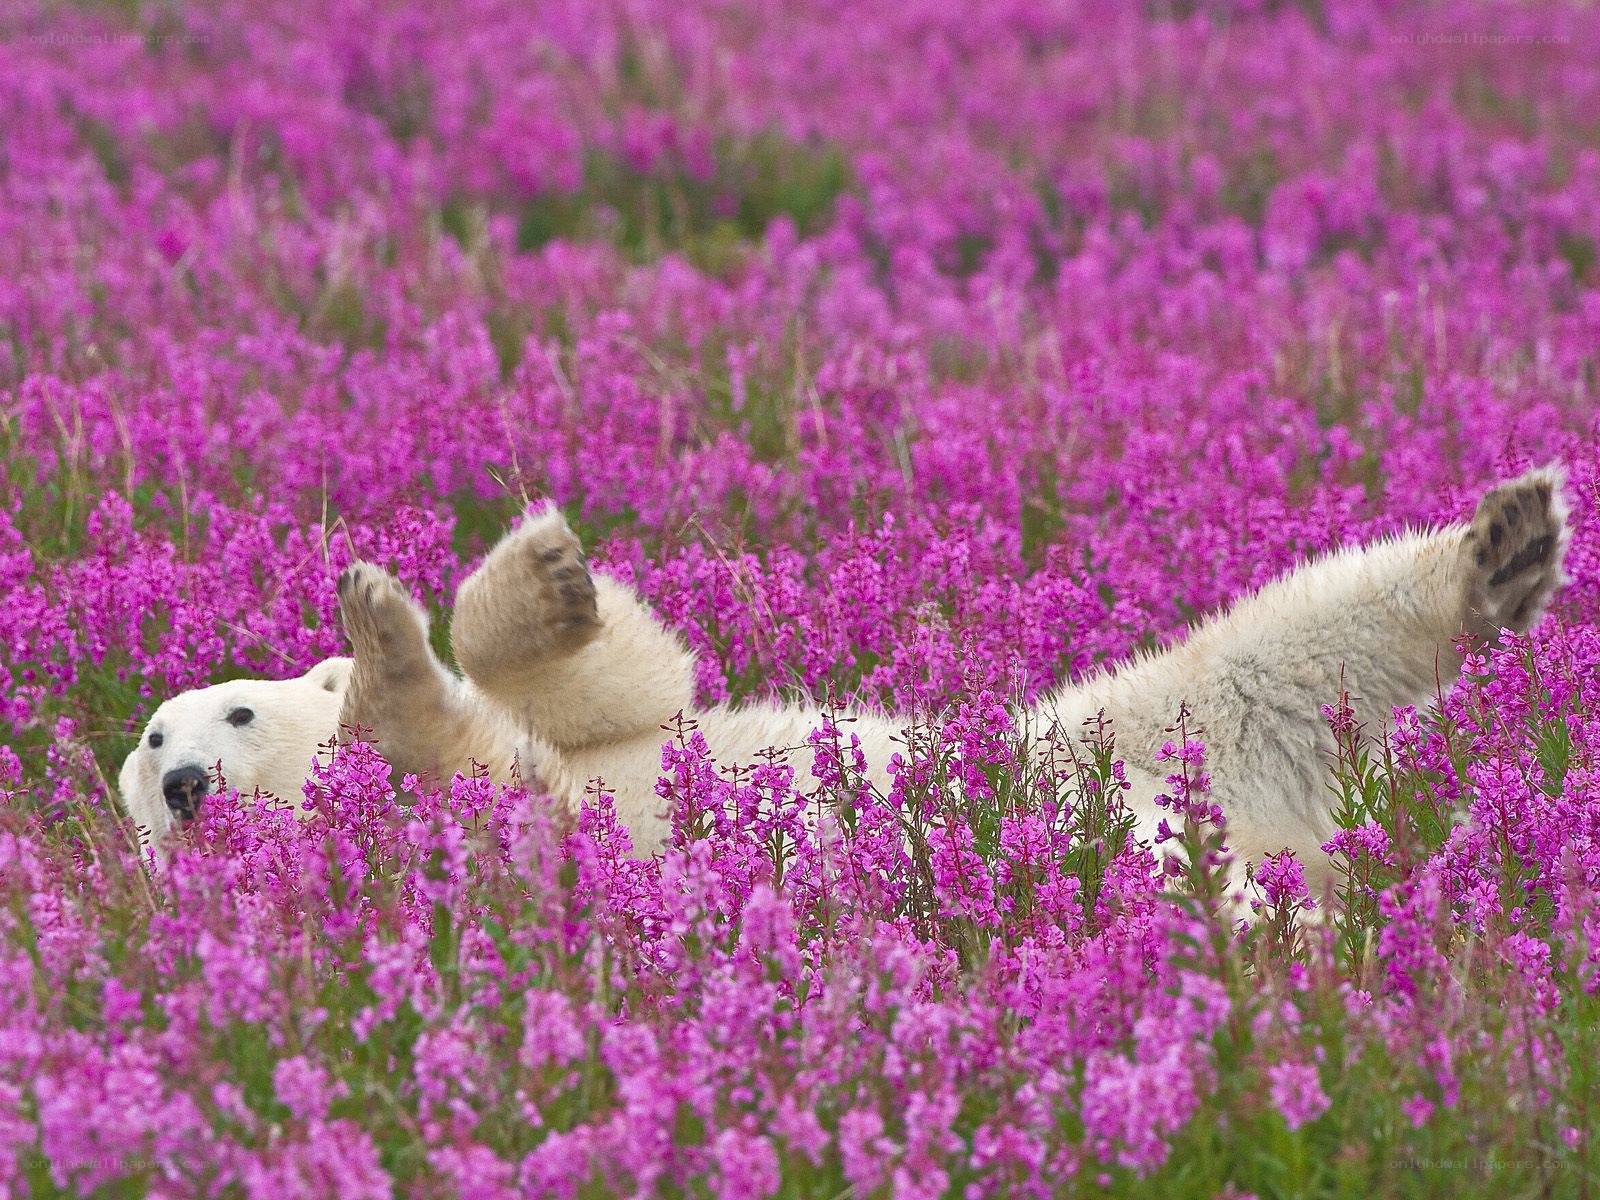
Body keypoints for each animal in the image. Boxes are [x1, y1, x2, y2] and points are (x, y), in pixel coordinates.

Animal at [119, 468, 1571, 897]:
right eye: (147, 743)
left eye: (228, 708)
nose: (184, 782)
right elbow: (451, 757)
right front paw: (383, 645)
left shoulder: (599, 739)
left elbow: (628, 686)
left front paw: (522, 578)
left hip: (1114, 732)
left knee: (1281, 645)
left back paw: (1504, 544)